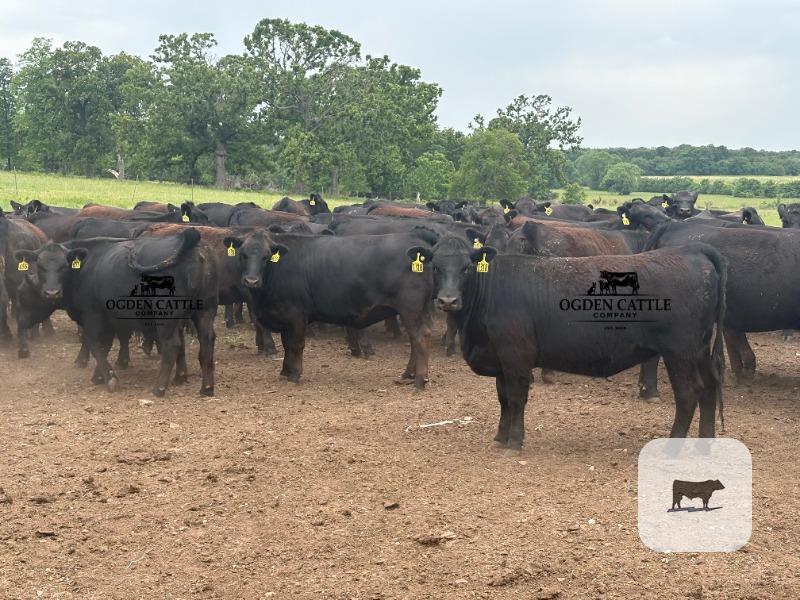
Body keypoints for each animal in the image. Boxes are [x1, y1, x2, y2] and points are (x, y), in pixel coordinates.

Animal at [225, 228, 438, 389]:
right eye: (243, 254)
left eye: (266, 256)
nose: (251, 281)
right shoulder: (285, 317)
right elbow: (286, 344)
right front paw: (285, 371)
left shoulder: (297, 314)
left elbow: (296, 344)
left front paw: (295, 374)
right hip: (421, 310)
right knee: (418, 338)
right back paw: (409, 374)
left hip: (411, 310)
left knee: (420, 338)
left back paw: (419, 380)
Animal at [436, 243, 726, 448]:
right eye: (436, 265)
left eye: (466, 268)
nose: (448, 300)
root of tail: (692, 249)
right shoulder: (501, 359)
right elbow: (503, 398)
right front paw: (500, 437)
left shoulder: (516, 356)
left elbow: (517, 397)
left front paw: (514, 441)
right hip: (700, 348)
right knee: (710, 387)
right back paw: (705, 444)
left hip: (680, 352)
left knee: (689, 393)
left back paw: (672, 448)